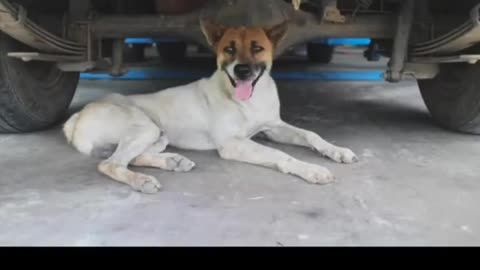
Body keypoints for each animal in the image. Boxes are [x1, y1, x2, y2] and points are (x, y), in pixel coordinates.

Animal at [62, 20, 356, 194]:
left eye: (257, 47)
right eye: (229, 49)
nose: (242, 71)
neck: (251, 99)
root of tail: (76, 117)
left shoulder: (272, 127)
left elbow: (311, 134)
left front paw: (337, 150)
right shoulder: (232, 144)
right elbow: (281, 155)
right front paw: (312, 170)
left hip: (157, 134)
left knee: (130, 157)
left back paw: (172, 161)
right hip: (145, 127)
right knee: (110, 164)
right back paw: (142, 180)